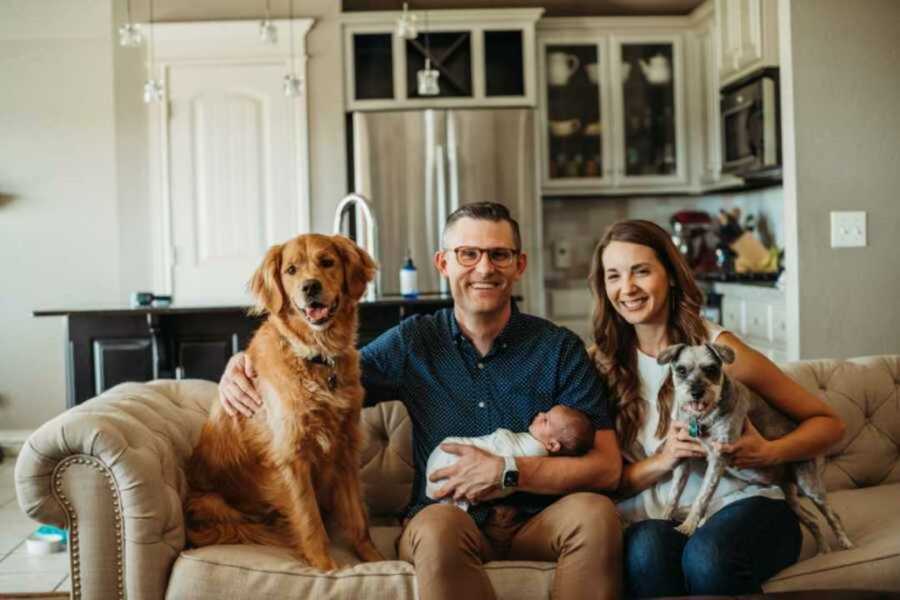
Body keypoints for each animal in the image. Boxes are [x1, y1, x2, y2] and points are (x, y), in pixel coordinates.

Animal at [652, 342, 852, 552]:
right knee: (812, 520)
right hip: (791, 498)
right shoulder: (683, 456)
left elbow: (702, 496)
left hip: (809, 484)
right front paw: (665, 517)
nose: (696, 393)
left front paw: (688, 526)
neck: (702, 418)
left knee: (832, 515)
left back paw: (845, 542)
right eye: (681, 370)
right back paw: (823, 549)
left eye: (711, 369)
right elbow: (674, 494)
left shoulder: (718, 456)